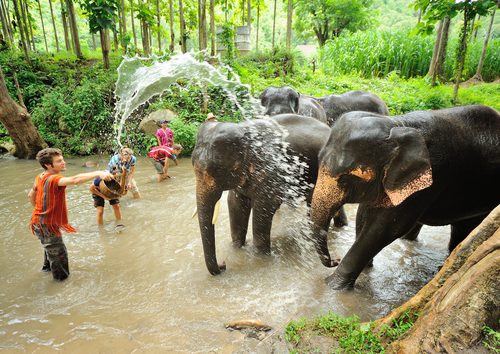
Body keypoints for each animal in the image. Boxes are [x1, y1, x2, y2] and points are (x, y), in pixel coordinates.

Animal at [191, 113, 348, 274]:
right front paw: (237, 248)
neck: (243, 128)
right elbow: (235, 205)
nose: (223, 265)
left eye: (217, 170)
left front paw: (261, 258)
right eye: (193, 165)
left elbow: (263, 211)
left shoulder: (272, 171)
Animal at [308, 103, 500, 290]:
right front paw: (366, 269)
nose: (335, 259)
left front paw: (333, 286)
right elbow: (364, 214)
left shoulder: (434, 176)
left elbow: (386, 226)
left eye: (347, 178)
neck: (398, 124)